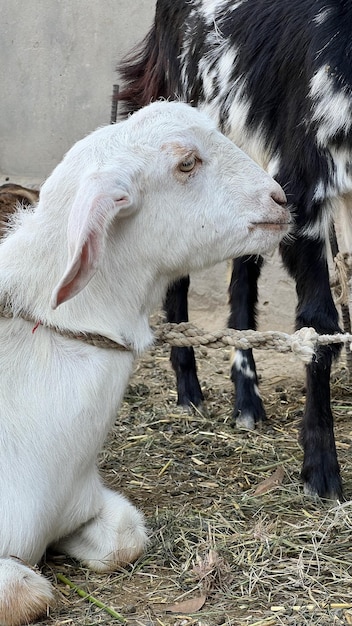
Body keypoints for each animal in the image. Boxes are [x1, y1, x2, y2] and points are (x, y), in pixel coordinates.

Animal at [117, 0, 352, 498]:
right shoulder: (305, 177)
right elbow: (320, 323)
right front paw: (321, 471)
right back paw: (189, 392)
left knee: (244, 272)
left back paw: (247, 402)